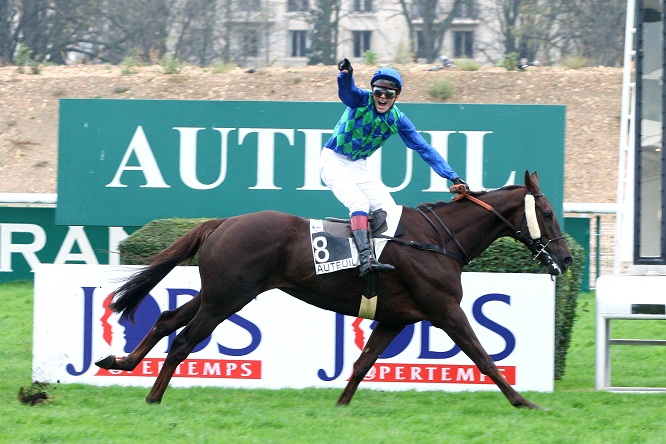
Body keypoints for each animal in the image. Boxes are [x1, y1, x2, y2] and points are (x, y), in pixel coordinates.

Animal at [94, 171, 572, 410]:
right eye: (548, 213)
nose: (567, 259)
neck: (438, 240)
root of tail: (223, 223)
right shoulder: (445, 309)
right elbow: (483, 356)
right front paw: (523, 401)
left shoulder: (395, 317)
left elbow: (362, 363)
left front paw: (341, 404)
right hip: (227, 298)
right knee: (183, 341)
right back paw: (153, 395)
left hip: (217, 292)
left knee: (166, 318)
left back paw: (120, 361)